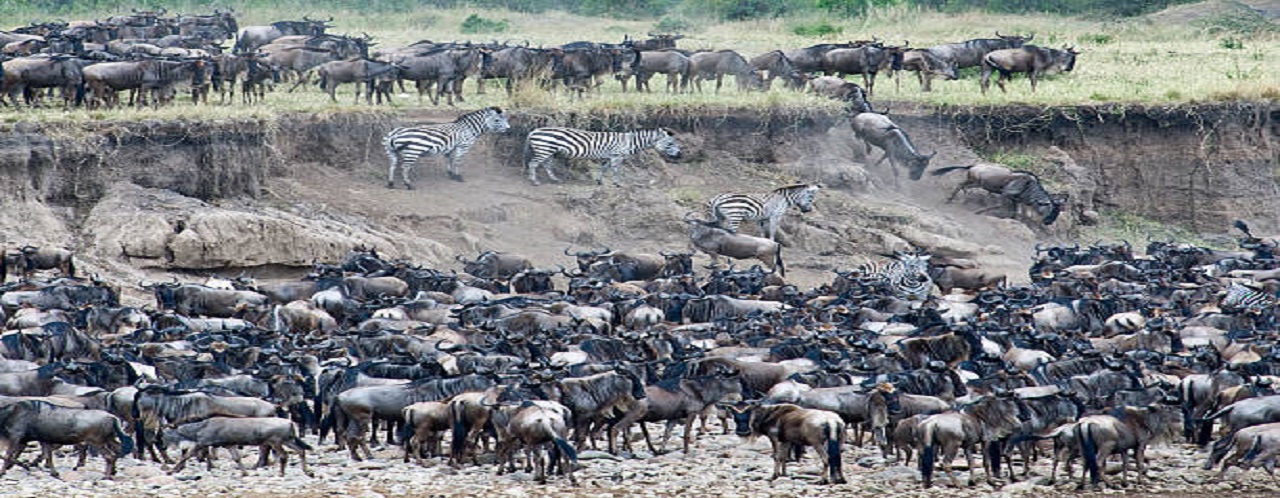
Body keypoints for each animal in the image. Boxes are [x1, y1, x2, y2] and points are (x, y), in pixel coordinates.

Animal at [381, 106, 512, 188]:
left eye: (506, 119)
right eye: (497, 120)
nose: (508, 130)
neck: (469, 129)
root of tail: (394, 134)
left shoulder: (450, 148)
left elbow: (450, 160)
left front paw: (451, 175)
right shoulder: (463, 146)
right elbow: (458, 162)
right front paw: (459, 177)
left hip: (391, 151)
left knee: (392, 166)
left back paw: (390, 184)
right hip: (412, 152)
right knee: (404, 167)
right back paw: (409, 185)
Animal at [522, 125, 680, 185]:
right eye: (670, 143)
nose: (679, 154)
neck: (630, 142)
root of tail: (535, 130)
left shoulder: (612, 156)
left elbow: (604, 168)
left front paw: (599, 181)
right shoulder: (617, 155)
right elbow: (616, 170)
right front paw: (617, 183)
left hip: (549, 150)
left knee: (546, 164)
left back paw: (554, 179)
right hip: (544, 149)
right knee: (533, 164)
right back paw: (534, 181)